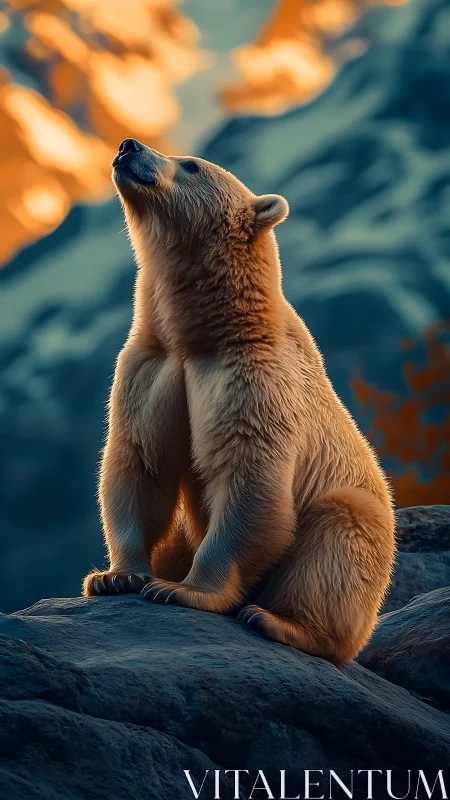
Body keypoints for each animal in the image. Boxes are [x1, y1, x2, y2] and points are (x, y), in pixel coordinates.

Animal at [83, 137, 396, 662]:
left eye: (191, 164)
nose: (128, 145)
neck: (206, 332)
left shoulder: (253, 377)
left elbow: (250, 476)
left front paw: (182, 590)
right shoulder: (150, 367)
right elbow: (139, 459)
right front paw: (116, 576)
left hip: (361, 527)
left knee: (341, 531)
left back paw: (280, 622)